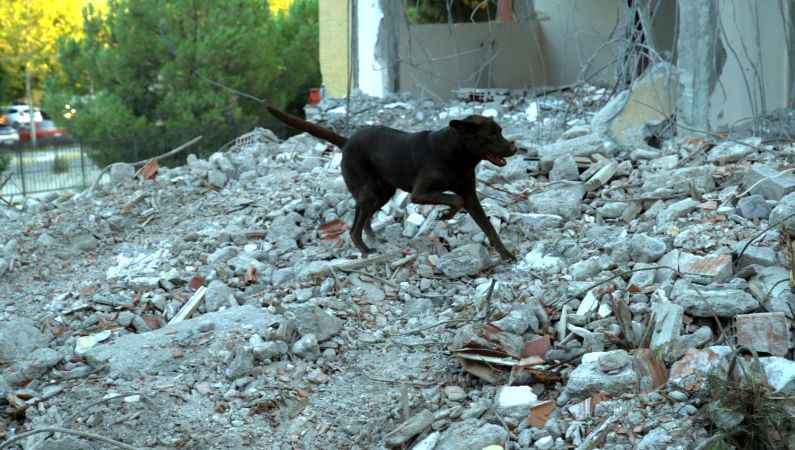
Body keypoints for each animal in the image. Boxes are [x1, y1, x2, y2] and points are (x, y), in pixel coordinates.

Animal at [264, 106, 520, 260]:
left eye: (501, 131)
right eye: (491, 135)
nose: (514, 147)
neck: (456, 154)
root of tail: (346, 142)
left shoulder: (470, 195)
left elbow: (488, 226)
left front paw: (505, 253)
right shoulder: (420, 193)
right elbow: (453, 199)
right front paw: (446, 214)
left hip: (382, 192)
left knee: (363, 219)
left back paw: (371, 238)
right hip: (370, 193)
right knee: (354, 227)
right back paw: (365, 249)